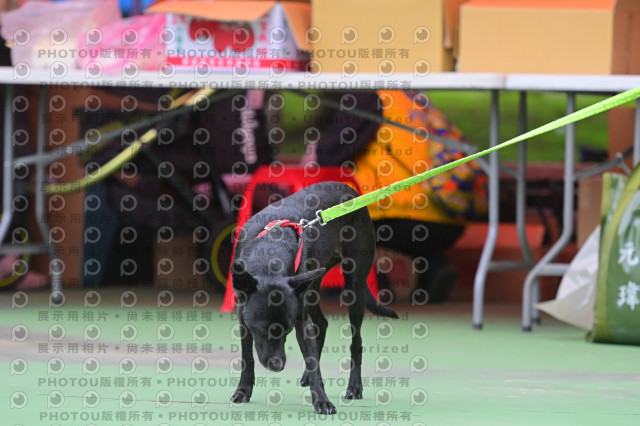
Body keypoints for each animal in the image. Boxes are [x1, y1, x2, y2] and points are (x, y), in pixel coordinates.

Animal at [230, 181, 398, 414]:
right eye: (262, 330)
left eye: (288, 330)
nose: (278, 366)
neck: (268, 257)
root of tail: (350, 189)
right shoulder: (243, 318)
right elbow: (247, 357)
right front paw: (243, 391)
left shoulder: (300, 320)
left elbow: (312, 362)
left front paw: (322, 401)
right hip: (309, 286)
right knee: (322, 323)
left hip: (354, 285)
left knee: (356, 342)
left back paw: (354, 387)